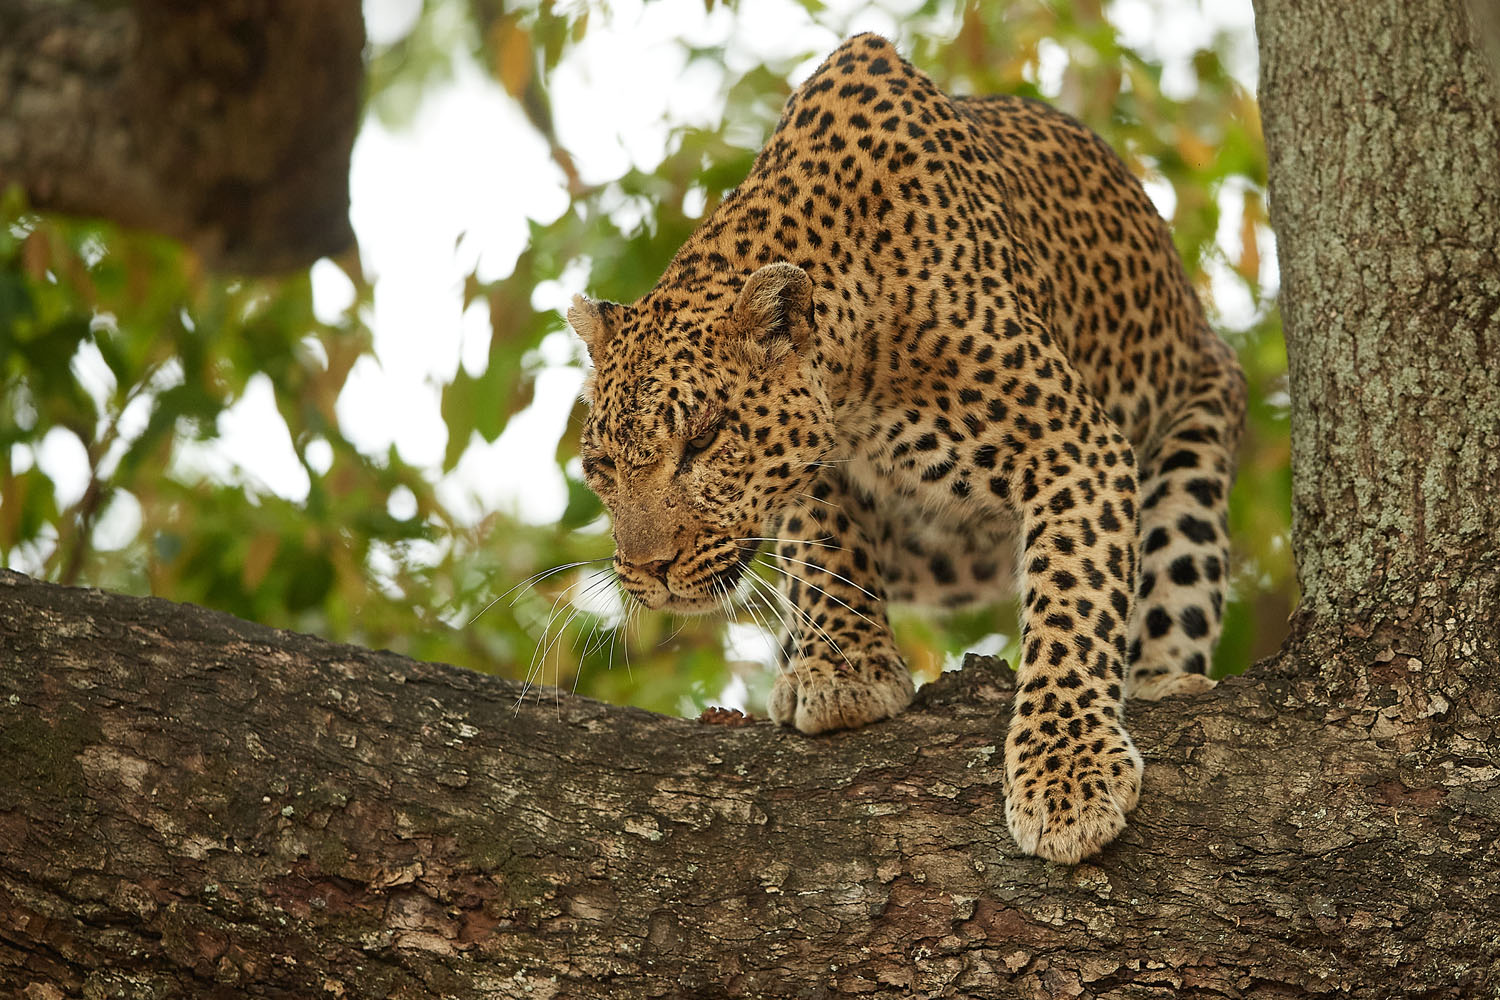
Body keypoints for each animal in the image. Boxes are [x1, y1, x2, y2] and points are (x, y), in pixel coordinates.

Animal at [566, 34, 1245, 864]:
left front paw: (1067, 775)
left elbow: (1072, 599)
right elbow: (822, 549)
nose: (647, 572)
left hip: (1196, 431)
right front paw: (844, 669)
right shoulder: (818, 470)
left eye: (701, 439)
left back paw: (1163, 682)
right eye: (601, 467)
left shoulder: (1071, 445)